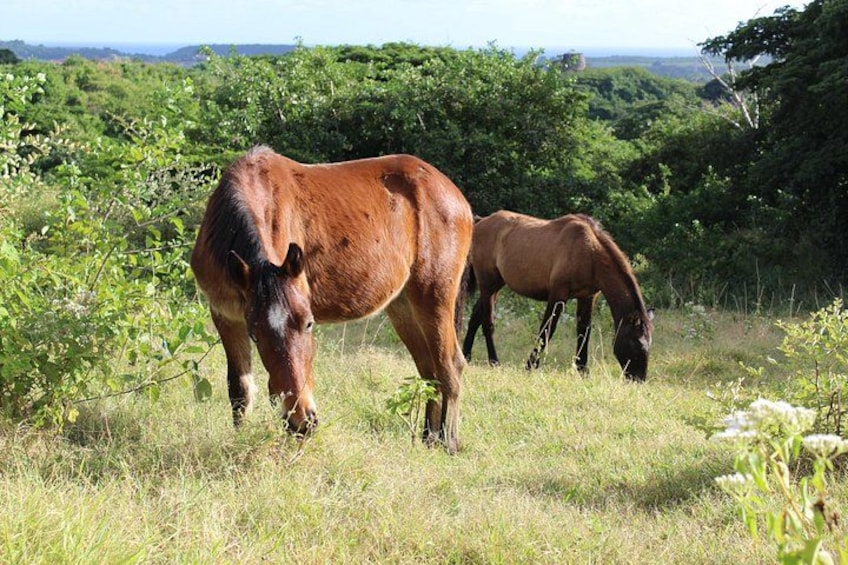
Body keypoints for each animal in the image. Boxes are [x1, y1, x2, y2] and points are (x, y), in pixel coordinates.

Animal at [190, 146, 473, 453]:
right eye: (256, 334)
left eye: (309, 324)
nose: (302, 421)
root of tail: (453, 194)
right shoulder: (226, 317)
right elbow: (240, 390)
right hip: (403, 307)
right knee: (428, 370)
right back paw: (428, 439)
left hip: (434, 298)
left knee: (450, 366)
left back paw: (449, 441)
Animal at [461, 210, 654, 380]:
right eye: (637, 344)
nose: (638, 379)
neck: (589, 252)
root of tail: (480, 221)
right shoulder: (558, 295)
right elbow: (547, 330)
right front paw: (530, 366)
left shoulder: (587, 297)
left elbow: (583, 330)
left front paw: (583, 370)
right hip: (488, 285)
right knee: (488, 322)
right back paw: (494, 361)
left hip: (496, 285)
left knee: (475, 317)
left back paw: (466, 355)